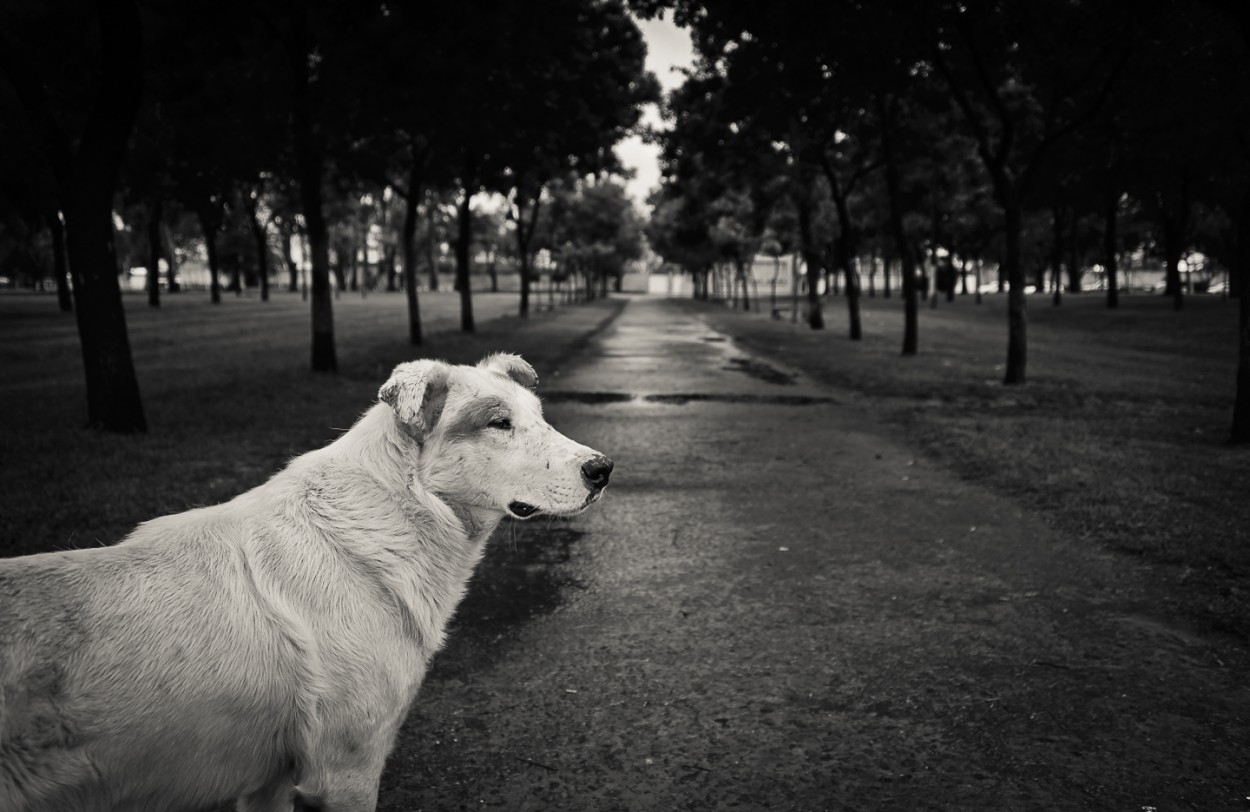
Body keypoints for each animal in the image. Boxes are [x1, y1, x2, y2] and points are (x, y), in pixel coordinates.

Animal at [0, 352, 610, 809]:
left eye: (539, 417)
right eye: (498, 423)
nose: (603, 469)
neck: (396, 513)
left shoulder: (267, 783)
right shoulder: (346, 773)